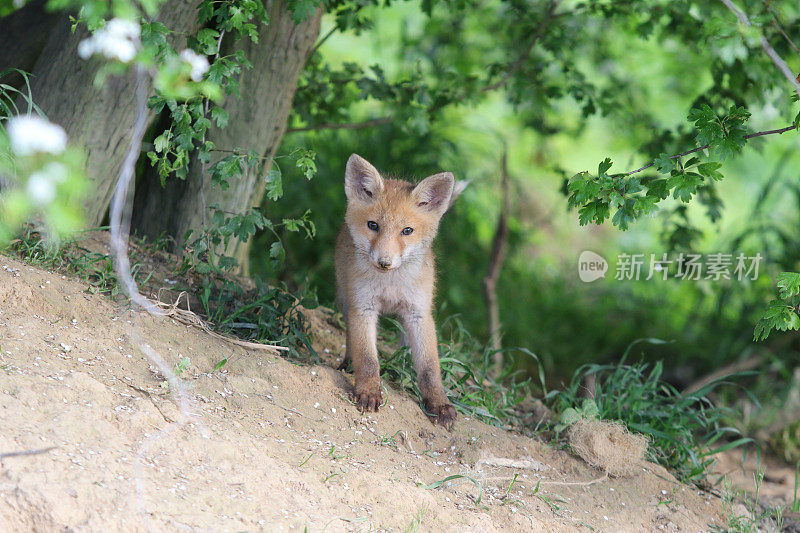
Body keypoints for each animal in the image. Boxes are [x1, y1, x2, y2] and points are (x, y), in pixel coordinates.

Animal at [332, 153, 468, 428]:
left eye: (407, 231)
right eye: (373, 225)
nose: (384, 262)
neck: (391, 285)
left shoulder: (419, 313)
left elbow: (429, 368)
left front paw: (438, 403)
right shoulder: (363, 307)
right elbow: (368, 358)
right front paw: (368, 391)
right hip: (346, 300)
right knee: (352, 341)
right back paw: (348, 365)